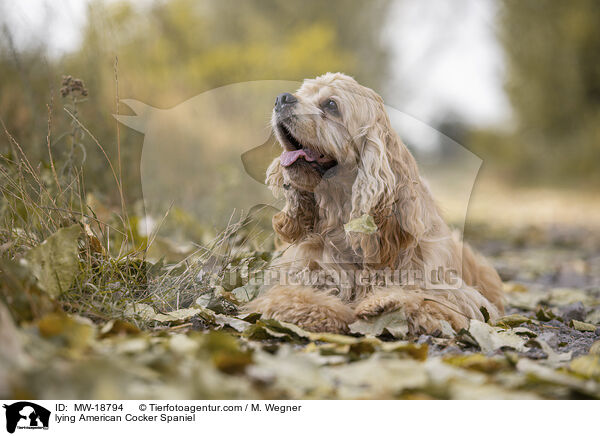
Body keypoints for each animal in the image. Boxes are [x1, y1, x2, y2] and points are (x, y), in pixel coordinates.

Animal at [244, 74, 502, 334]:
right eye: (302, 94)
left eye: (331, 105)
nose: (281, 99)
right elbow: (291, 295)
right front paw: (327, 312)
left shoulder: (459, 294)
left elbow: (424, 298)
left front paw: (383, 303)